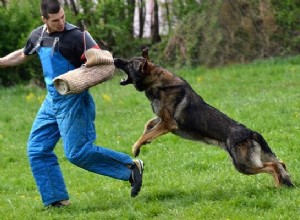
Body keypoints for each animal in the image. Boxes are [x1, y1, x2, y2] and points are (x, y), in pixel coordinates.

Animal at [113, 48, 294, 187]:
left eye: (129, 63)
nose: (114, 59)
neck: (157, 82)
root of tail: (250, 132)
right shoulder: (161, 119)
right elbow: (148, 125)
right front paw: (144, 141)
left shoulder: (168, 124)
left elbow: (147, 133)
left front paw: (136, 147)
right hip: (252, 160)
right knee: (280, 163)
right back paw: (284, 184)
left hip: (243, 165)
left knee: (272, 166)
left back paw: (278, 186)